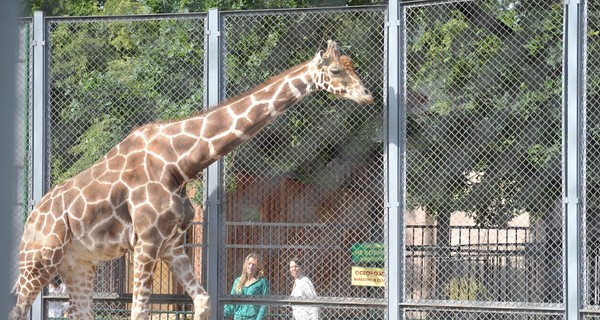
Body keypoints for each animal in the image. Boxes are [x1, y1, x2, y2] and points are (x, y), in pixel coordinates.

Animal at [10, 40, 370, 320]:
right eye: (335, 71)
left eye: (352, 66)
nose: (367, 95)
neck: (178, 162)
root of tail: (31, 218)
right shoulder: (146, 242)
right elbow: (139, 310)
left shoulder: (172, 244)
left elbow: (204, 299)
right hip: (38, 260)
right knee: (19, 307)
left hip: (78, 263)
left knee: (78, 310)